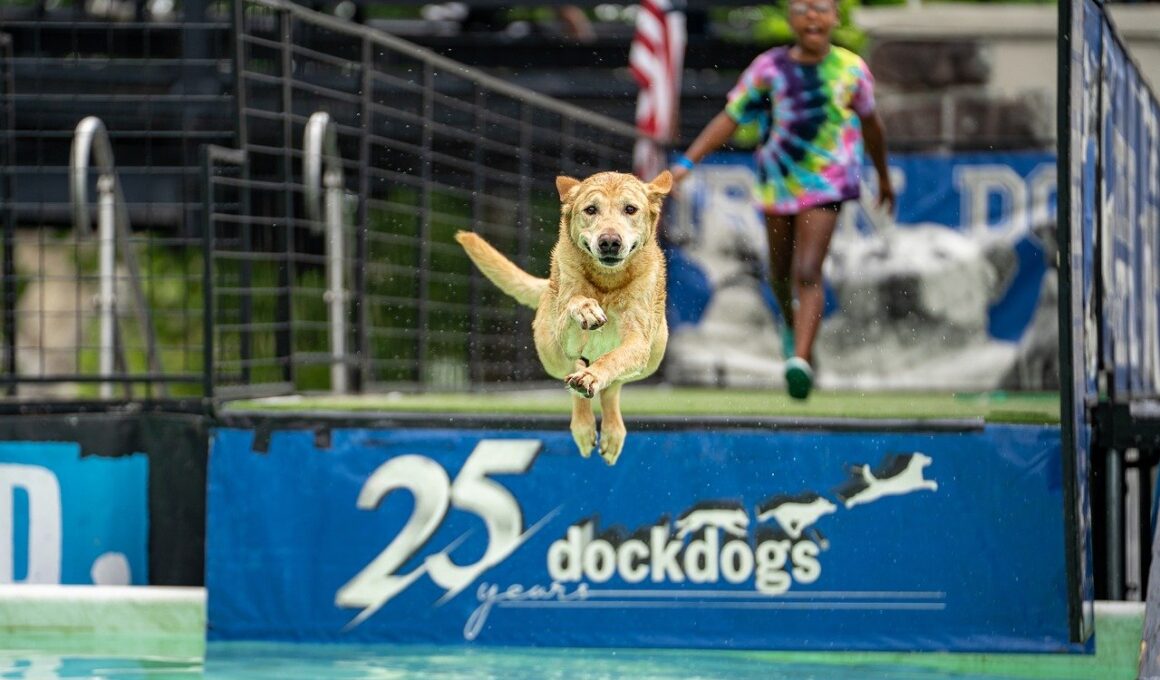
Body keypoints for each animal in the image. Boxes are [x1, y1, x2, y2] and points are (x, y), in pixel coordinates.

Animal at [455, 170, 673, 465]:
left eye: (630, 209)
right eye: (591, 209)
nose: (609, 241)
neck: (607, 283)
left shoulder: (638, 341)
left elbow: (613, 360)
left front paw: (594, 376)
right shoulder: (566, 337)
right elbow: (574, 306)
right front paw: (584, 308)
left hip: (653, 356)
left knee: (612, 386)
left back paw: (610, 429)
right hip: (551, 353)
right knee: (574, 375)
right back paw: (583, 423)